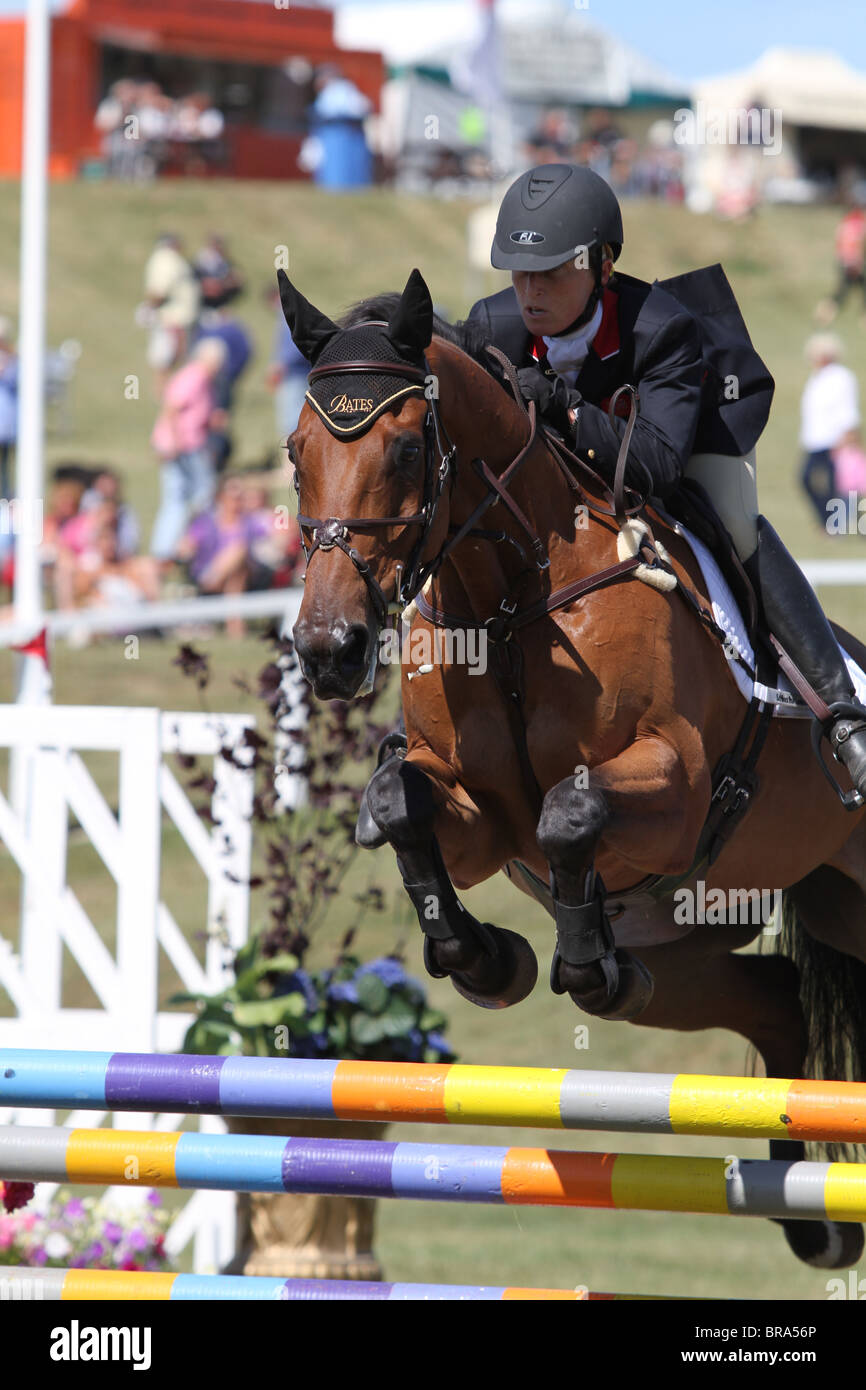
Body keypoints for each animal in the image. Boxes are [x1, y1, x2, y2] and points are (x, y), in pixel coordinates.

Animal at [280, 266, 866, 1270]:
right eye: (295, 453)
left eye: (407, 450)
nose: (330, 650)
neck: (511, 602)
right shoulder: (480, 820)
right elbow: (399, 803)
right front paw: (486, 958)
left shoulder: (678, 787)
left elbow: (571, 810)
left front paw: (581, 966)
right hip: (699, 930)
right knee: (777, 1003)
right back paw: (812, 1219)